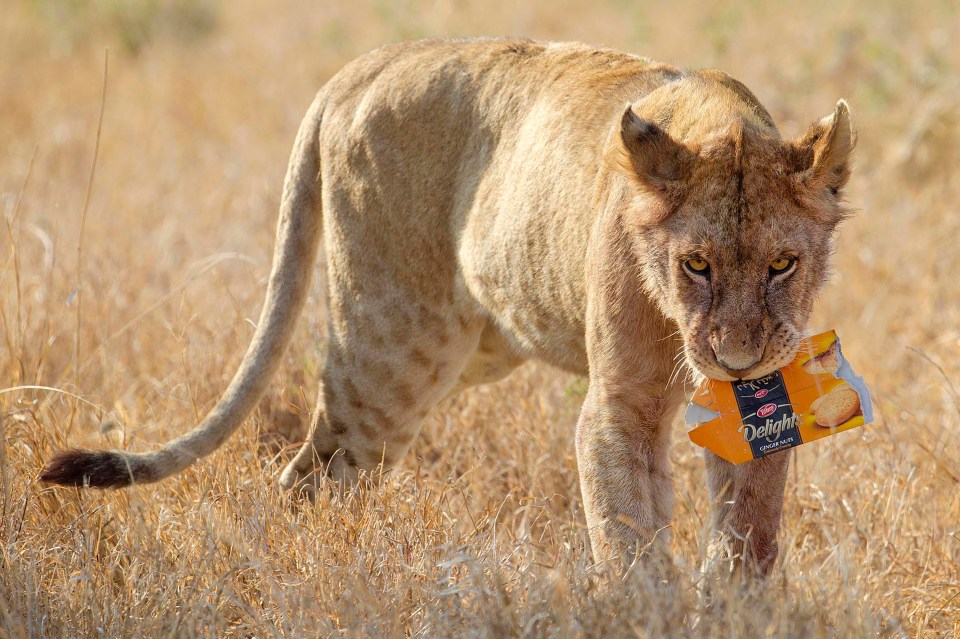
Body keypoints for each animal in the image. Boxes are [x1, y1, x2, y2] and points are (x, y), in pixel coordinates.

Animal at [41, 37, 860, 572]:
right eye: (696, 265)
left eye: (782, 264)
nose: (736, 358)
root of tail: (359, 68)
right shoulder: (619, 404)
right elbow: (629, 539)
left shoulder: (761, 409)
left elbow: (746, 541)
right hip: (392, 345)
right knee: (313, 472)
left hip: (466, 349)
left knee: (342, 470)